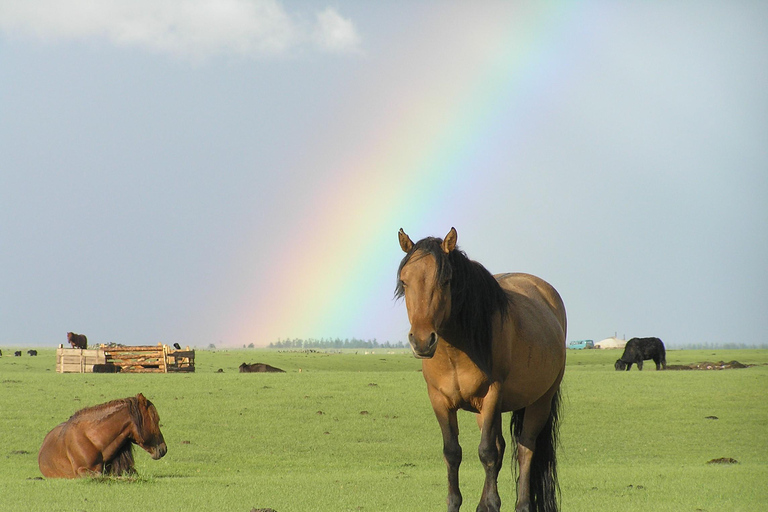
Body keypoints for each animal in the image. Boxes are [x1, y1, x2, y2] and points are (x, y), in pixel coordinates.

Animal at [400, 228, 568, 512]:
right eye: (404, 282)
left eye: (446, 280)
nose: (422, 341)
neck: (455, 351)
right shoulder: (439, 401)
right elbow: (453, 452)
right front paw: (457, 503)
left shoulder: (492, 394)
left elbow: (487, 452)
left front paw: (492, 502)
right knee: (502, 447)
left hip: (539, 402)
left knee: (525, 448)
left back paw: (522, 504)